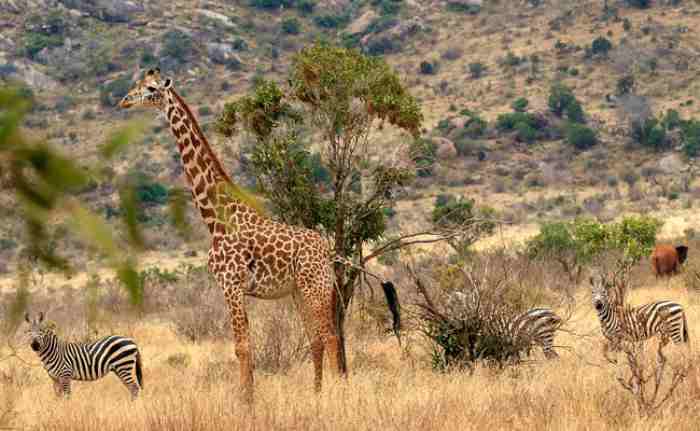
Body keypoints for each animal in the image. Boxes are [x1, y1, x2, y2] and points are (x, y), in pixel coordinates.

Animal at [118, 68, 396, 404]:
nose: (124, 100)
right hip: (299, 291)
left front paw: (245, 401)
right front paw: (249, 396)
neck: (216, 219)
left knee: (330, 335)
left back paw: (336, 394)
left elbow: (241, 347)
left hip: (315, 287)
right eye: (136, 84)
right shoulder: (234, 288)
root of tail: (328, 251)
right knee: (315, 338)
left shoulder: (231, 284)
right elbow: (245, 346)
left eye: (150, 89)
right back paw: (315, 393)